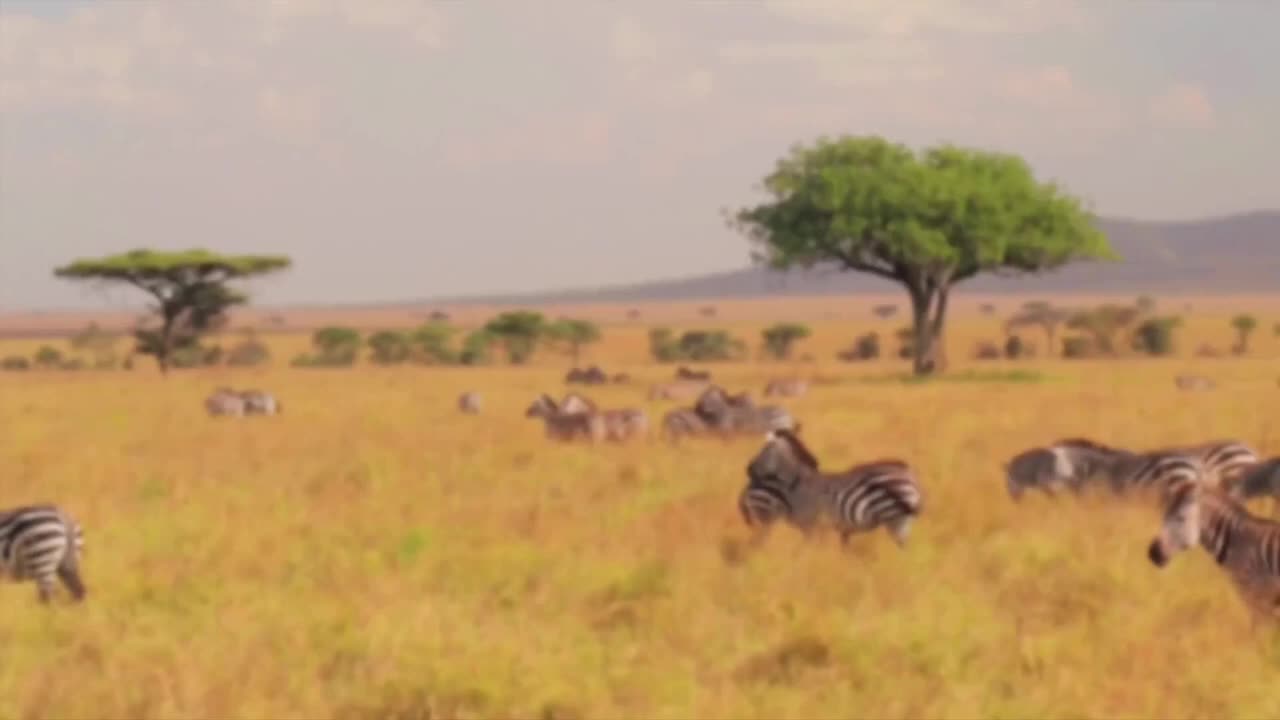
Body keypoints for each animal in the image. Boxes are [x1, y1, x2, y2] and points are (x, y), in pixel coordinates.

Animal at [737, 425, 926, 543]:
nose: (748, 471)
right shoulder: (820, 528)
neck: (799, 482)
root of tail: (909, 474)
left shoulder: (811, 524)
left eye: (763, 451)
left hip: (895, 518)